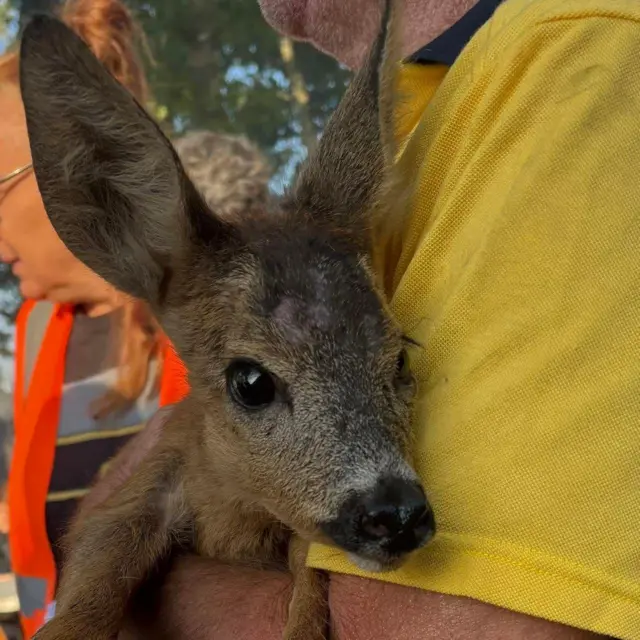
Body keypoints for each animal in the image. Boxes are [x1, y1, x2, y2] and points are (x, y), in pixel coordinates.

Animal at [19, 2, 435, 638]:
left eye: (400, 356)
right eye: (251, 381)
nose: (397, 513)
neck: (236, 514)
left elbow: (309, 577)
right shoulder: (138, 492)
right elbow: (92, 585)